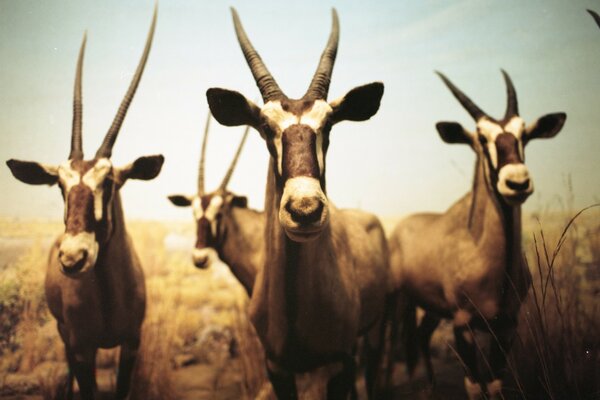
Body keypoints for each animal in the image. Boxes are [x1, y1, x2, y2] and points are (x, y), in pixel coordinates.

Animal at [5, 7, 164, 400]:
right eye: (60, 185)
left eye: (108, 181)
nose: (73, 258)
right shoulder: (81, 348)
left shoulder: (131, 344)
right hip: (64, 335)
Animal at [206, 7, 392, 400]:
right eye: (265, 128)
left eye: (330, 125)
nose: (305, 210)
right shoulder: (277, 368)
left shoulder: (341, 363)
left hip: (375, 329)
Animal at [390, 72, 568, 400]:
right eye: (482, 138)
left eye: (524, 135)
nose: (517, 182)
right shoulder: (464, 325)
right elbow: (474, 385)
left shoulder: (506, 327)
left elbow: (494, 384)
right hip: (400, 303)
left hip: (433, 309)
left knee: (422, 335)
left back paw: (431, 385)